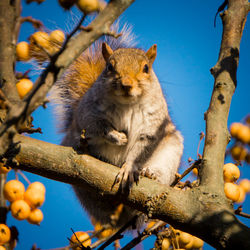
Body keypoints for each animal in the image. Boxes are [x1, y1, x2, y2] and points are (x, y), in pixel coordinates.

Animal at [50, 26, 184, 229]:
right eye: (110, 67)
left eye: (146, 68)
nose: (126, 84)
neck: (127, 104)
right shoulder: (87, 113)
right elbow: (95, 126)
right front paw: (117, 137)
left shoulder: (152, 127)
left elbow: (141, 149)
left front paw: (129, 168)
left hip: (171, 151)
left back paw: (151, 174)